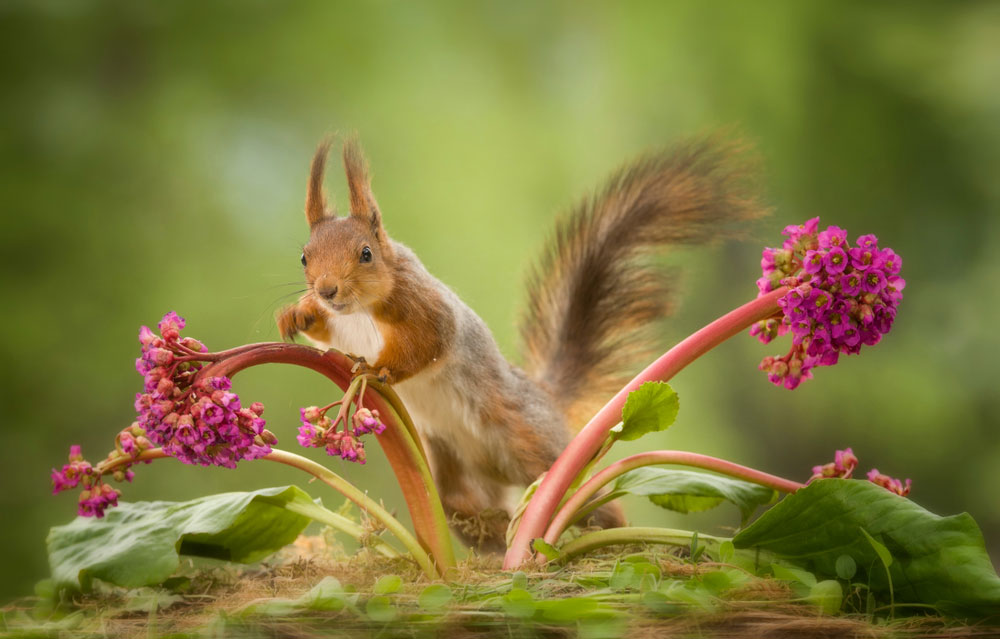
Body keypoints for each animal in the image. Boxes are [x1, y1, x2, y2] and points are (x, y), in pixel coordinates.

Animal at [278, 138, 760, 552]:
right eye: (304, 257)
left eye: (365, 254)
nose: (327, 290)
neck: (360, 309)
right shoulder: (346, 327)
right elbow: (328, 333)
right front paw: (296, 315)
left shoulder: (424, 308)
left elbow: (429, 343)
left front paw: (379, 371)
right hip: (451, 468)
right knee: (466, 509)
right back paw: (494, 541)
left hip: (534, 446)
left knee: (587, 500)